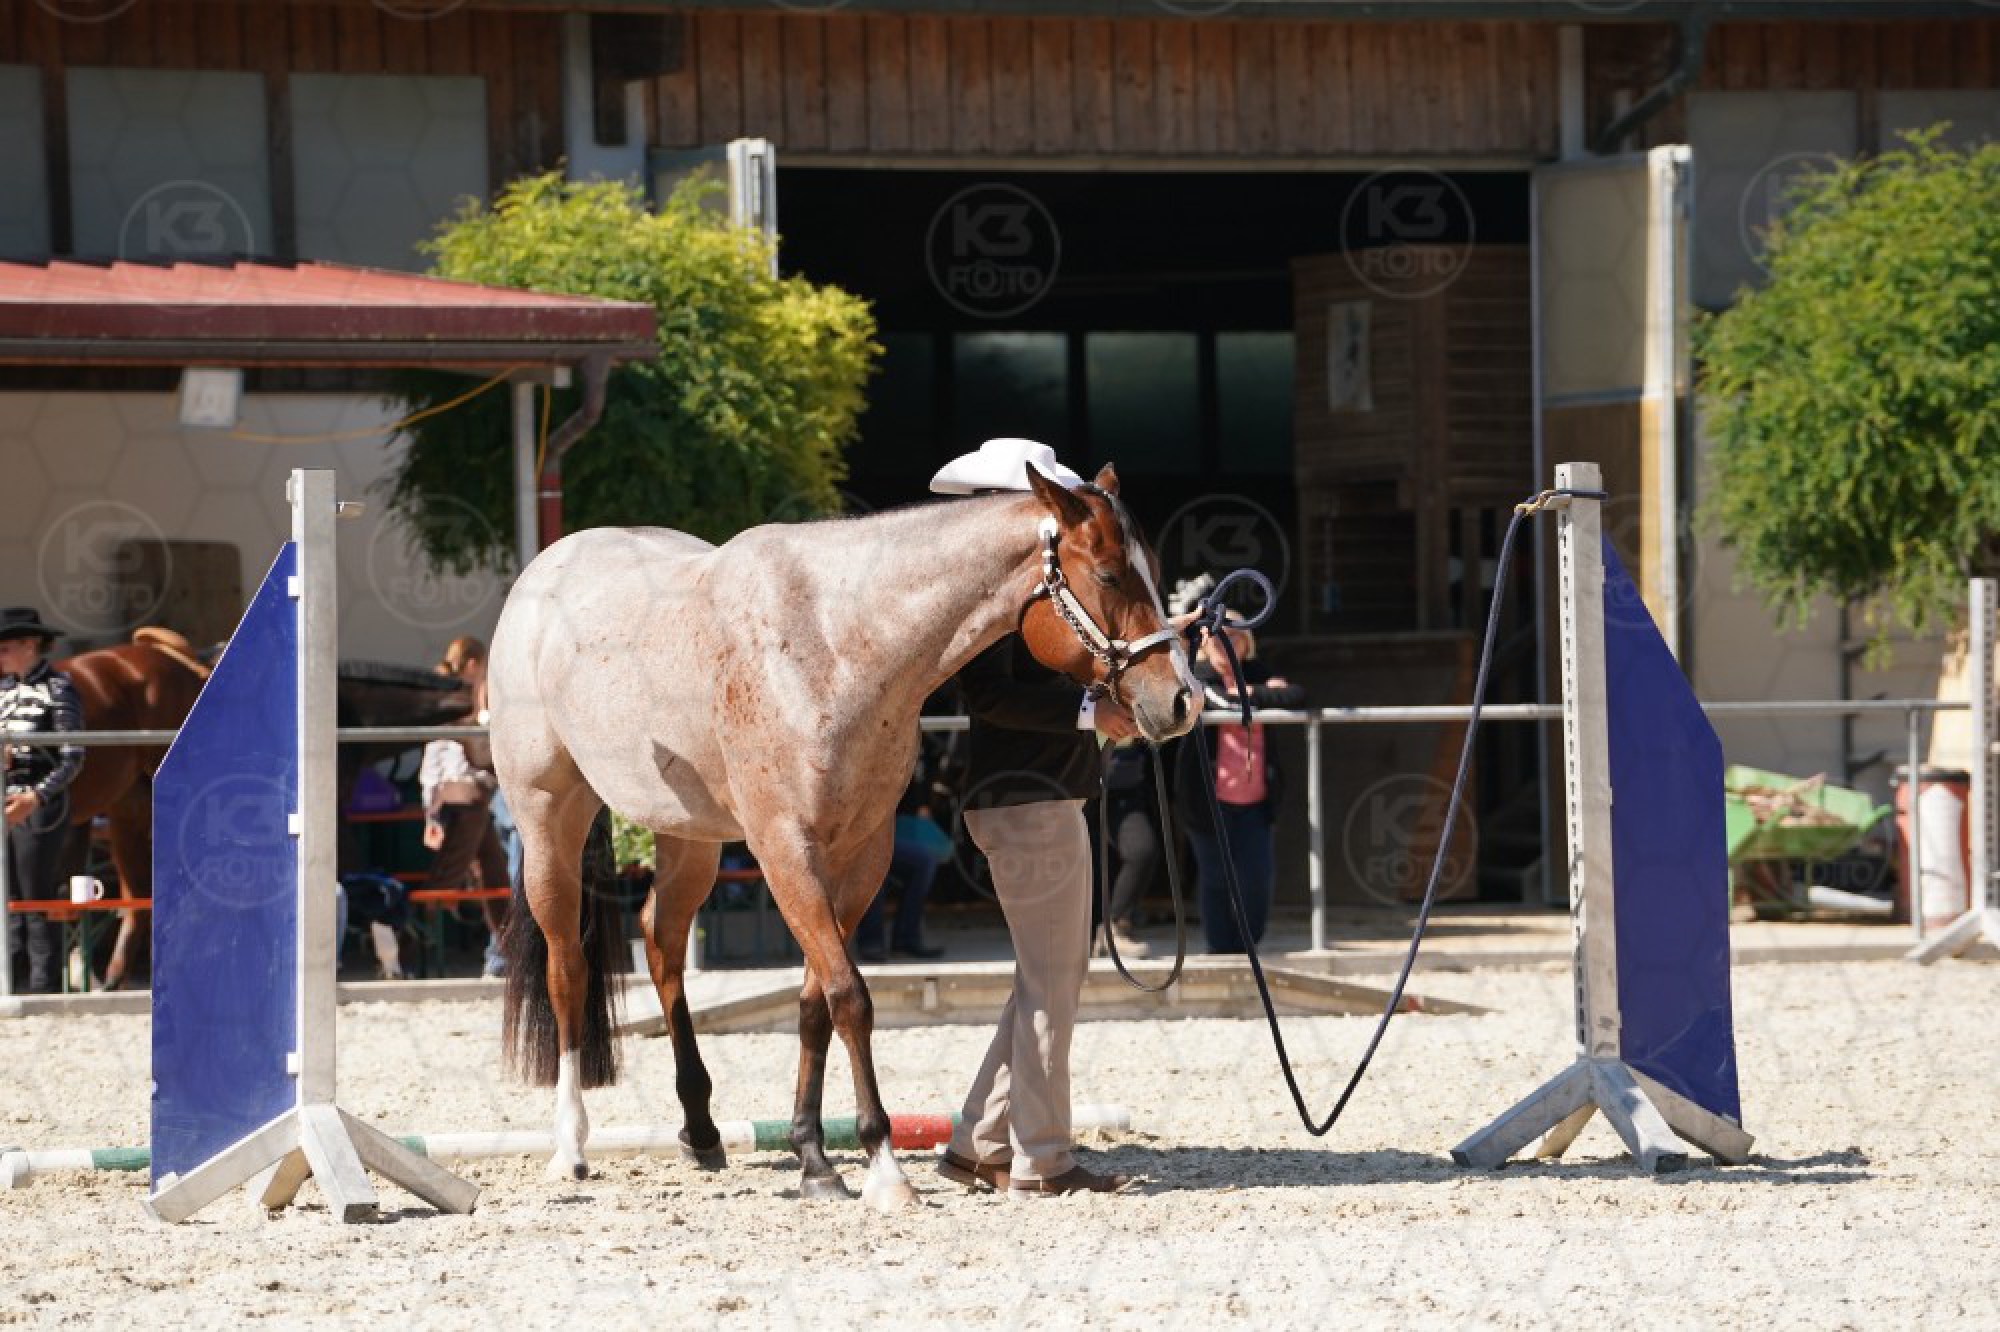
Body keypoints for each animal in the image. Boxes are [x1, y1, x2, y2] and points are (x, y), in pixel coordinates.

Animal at [488, 463, 1198, 1207]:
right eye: (1111, 575)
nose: (1181, 700)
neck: (835, 644)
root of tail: (543, 571)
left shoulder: (860, 857)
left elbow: (814, 1004)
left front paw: (814, 1157)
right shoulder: (784, 852)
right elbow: (851, 998)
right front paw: (883, 1167)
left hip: (691, 837)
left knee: (662, 939)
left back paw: (701, 1130)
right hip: (550, 817)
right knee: (568, 966)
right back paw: (569, 1146)